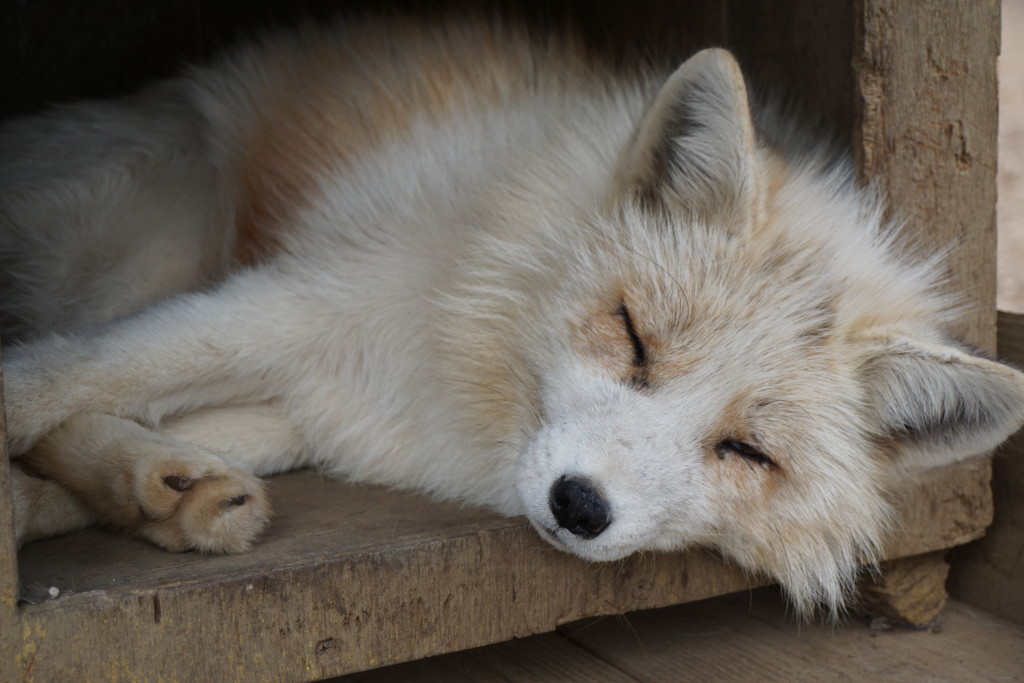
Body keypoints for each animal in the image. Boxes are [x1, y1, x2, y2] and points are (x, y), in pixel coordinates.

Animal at [2, 15, 1024, 618]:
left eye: (748, 452)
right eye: (633, 338)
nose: (579, 505)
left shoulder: (319, 407)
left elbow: (87, 426)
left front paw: (91, 492)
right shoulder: (302, 299)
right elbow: (63, 375)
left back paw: (172, 490)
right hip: (162, 245)